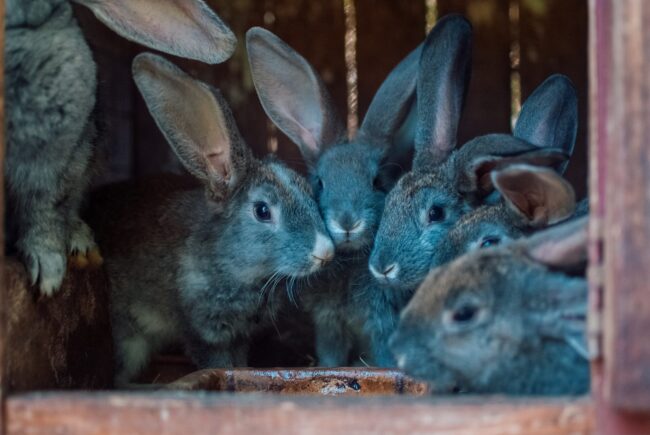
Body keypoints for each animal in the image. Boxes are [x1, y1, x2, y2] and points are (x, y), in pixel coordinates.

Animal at [88, 53, 335, 386]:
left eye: (309, 191)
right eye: (262, 211)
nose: (325, 252)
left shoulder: (239, 336)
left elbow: (239, 363)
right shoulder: (204, 330)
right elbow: (216, 360)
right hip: (128, 340)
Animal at [245, 16, 468, 366]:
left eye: (377, 182)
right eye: (320, 182)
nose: (347, 222)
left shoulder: (382, 318)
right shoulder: (328, 321)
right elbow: (331, 354)